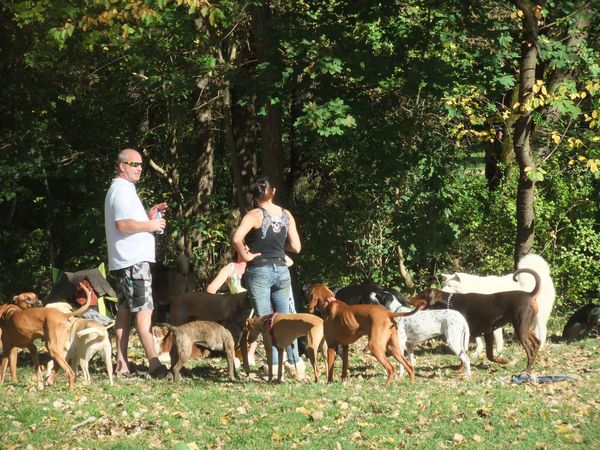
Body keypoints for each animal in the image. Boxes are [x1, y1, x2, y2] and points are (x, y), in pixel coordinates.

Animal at [410, 268, 540, 374]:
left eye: (421, 295)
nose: (408, 299)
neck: (450, 302)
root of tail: (529, 295)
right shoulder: (487, 332)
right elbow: (487, 355)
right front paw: (502, 360)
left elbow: (468, 354)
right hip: (522, 326)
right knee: (537, 342)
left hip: (520, 327)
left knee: (530, 351)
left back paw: (527, 370)